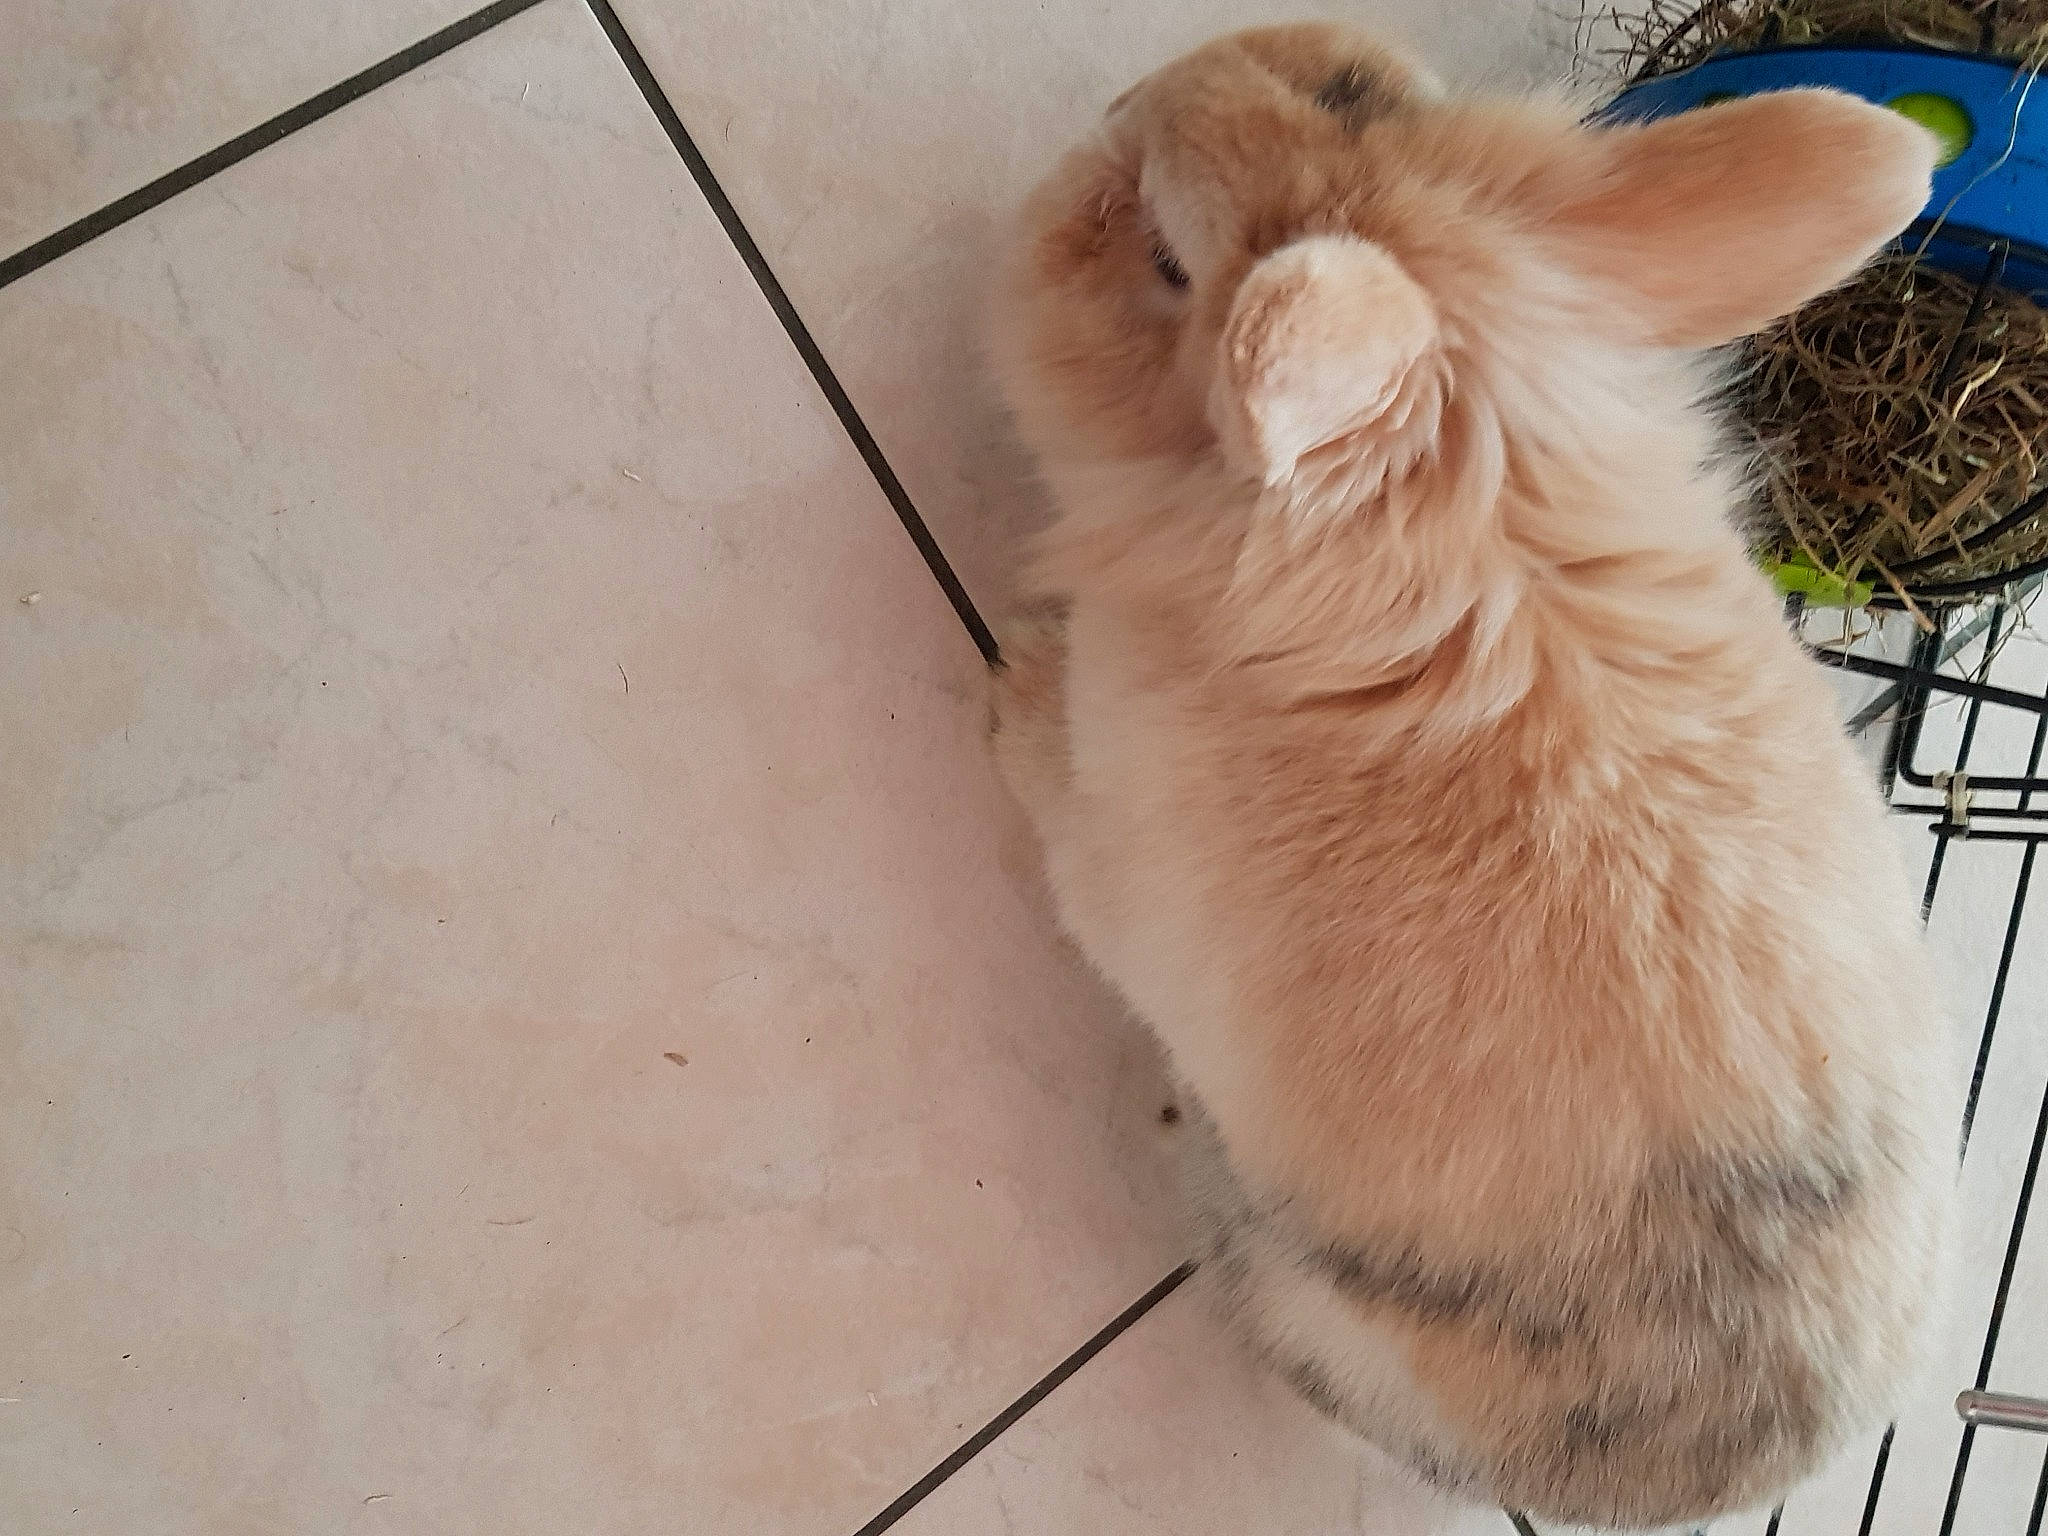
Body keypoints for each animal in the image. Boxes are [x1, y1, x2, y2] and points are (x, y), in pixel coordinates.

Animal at [985, 22, 1962, 1531]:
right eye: (1353, 93)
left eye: (1165, 257)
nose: (1122, 102)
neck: (1468, 525)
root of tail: (1759, 1466)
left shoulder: (1108, 857)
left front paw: (1009, 690)